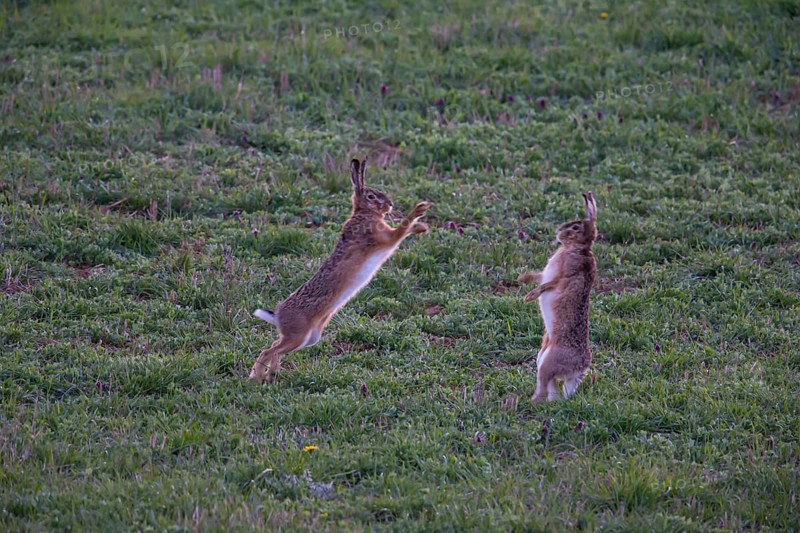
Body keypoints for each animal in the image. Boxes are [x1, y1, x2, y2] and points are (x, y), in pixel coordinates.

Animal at [249, 157, 432, 384]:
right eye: (371, 196)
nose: (390, 204)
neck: (364, 214)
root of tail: (278, 315)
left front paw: (421, 227)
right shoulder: (385, 237)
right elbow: (401, 229)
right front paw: (419, 211)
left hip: (308, 339)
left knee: (275, 347)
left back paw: (272, 373)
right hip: (298, 335)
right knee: (269, 350)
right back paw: (257, 377)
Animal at [517, 192, 597, 402]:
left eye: (576, 227)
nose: (558, 232)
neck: (578, 247)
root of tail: (580, 368)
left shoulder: (564, 276)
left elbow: (549, 284)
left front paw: (529, 296)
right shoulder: (547, 274)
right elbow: (539, 278)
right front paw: (523, 278)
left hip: (548, 363)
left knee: (544, 384)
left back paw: (531, 401)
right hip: (542, 356)